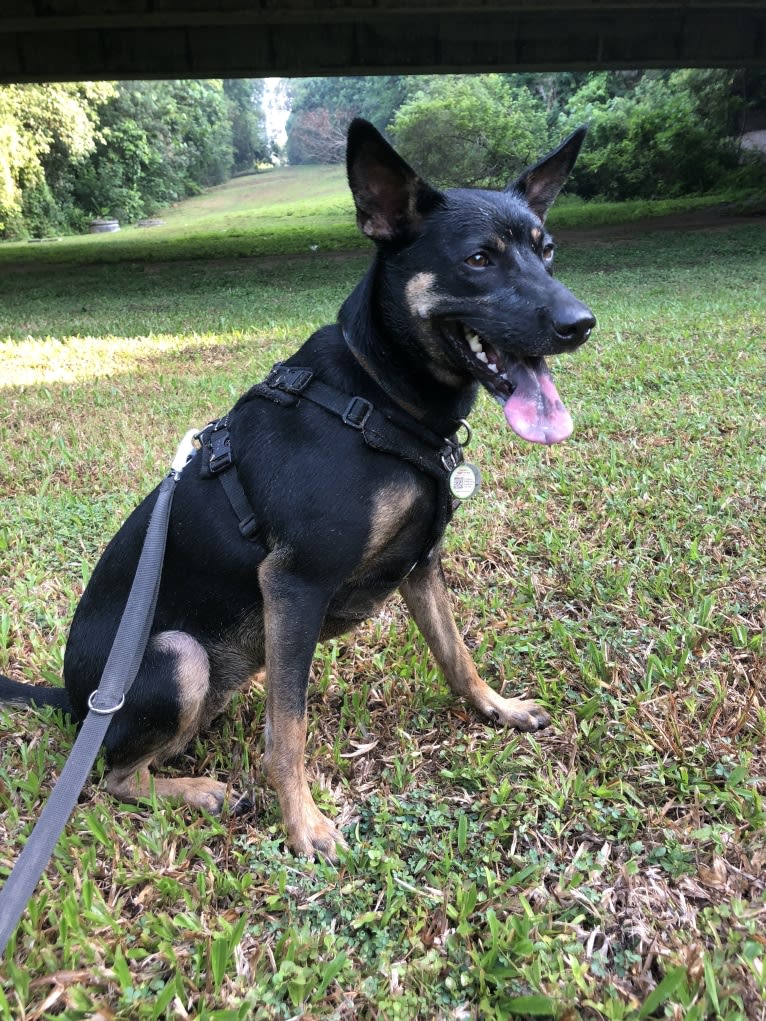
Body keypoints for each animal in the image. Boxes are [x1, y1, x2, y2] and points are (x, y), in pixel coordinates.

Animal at [0, 117, 596, 861]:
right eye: (480, 259)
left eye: (547, 252)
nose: (582, 322)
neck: (379, 394)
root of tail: (75, 702)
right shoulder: (294, 583)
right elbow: (289, 727)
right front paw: (304, 824)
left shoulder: (421, 565)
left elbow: (456, 654)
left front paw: (499, 709)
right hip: (177, 655)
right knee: (113, 778)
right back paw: (198, 790)